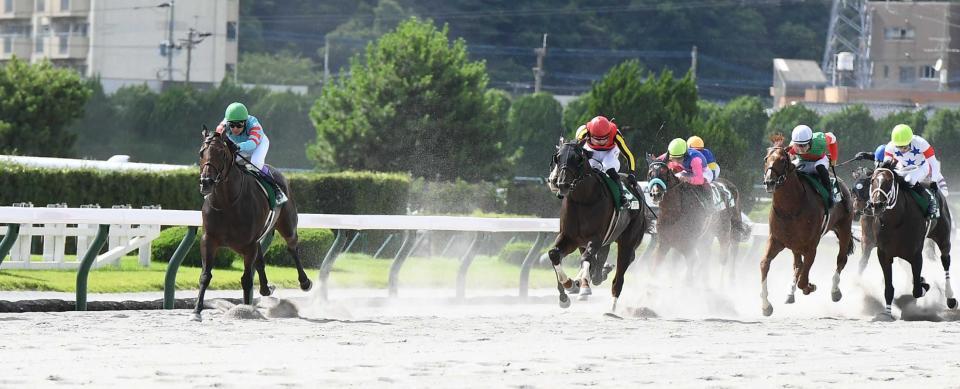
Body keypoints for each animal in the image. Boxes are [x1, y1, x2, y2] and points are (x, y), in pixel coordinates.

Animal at [193, 127, 314, 322]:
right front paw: (196, 311)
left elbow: (246, 279)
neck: (228, 203)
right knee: (261, 261)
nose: (206, 182)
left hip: (287, 226)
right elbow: (205, 276)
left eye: (221, 153)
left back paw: (304, 282)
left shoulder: (248, 244)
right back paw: (266, 288)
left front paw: (246, 310)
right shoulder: (208, 239)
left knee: (292, 248)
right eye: (201, 152)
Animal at [548, 139, 652, 310]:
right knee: (599, 265)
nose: (562, 184)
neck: (583, 200)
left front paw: (584, 287)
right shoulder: (570, 238)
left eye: (578, 159)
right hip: (604, 242)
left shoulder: (596, 238)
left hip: (628, 239)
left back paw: (612, 306)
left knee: (621, 270)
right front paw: (567, 289)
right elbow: (554, 254)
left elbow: (586, 258)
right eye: (557, 157)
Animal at [760, 133, 860, 316]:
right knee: (797, 265)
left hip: (844, 228)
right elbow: (764, 264)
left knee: (840, 259)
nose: (769, 182)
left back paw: (835, 291)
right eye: (766, 159)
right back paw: (790, 292)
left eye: (782, 160)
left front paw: (809, 286)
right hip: (795, 244)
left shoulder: (811, 246)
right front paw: (766, 306)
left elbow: (803, 279)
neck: (791, 208)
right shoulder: (776, 240)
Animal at [868, 165, 956, 320]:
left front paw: (924, 285)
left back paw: (950, 297)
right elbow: (889, 288)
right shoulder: (884, 255)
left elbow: (917, 290)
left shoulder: (915, 255)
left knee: (945, 261)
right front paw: (886, 313)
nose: (877, 204)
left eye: (889, 181)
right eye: (873, 180)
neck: (895, 222)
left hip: (944, 238)